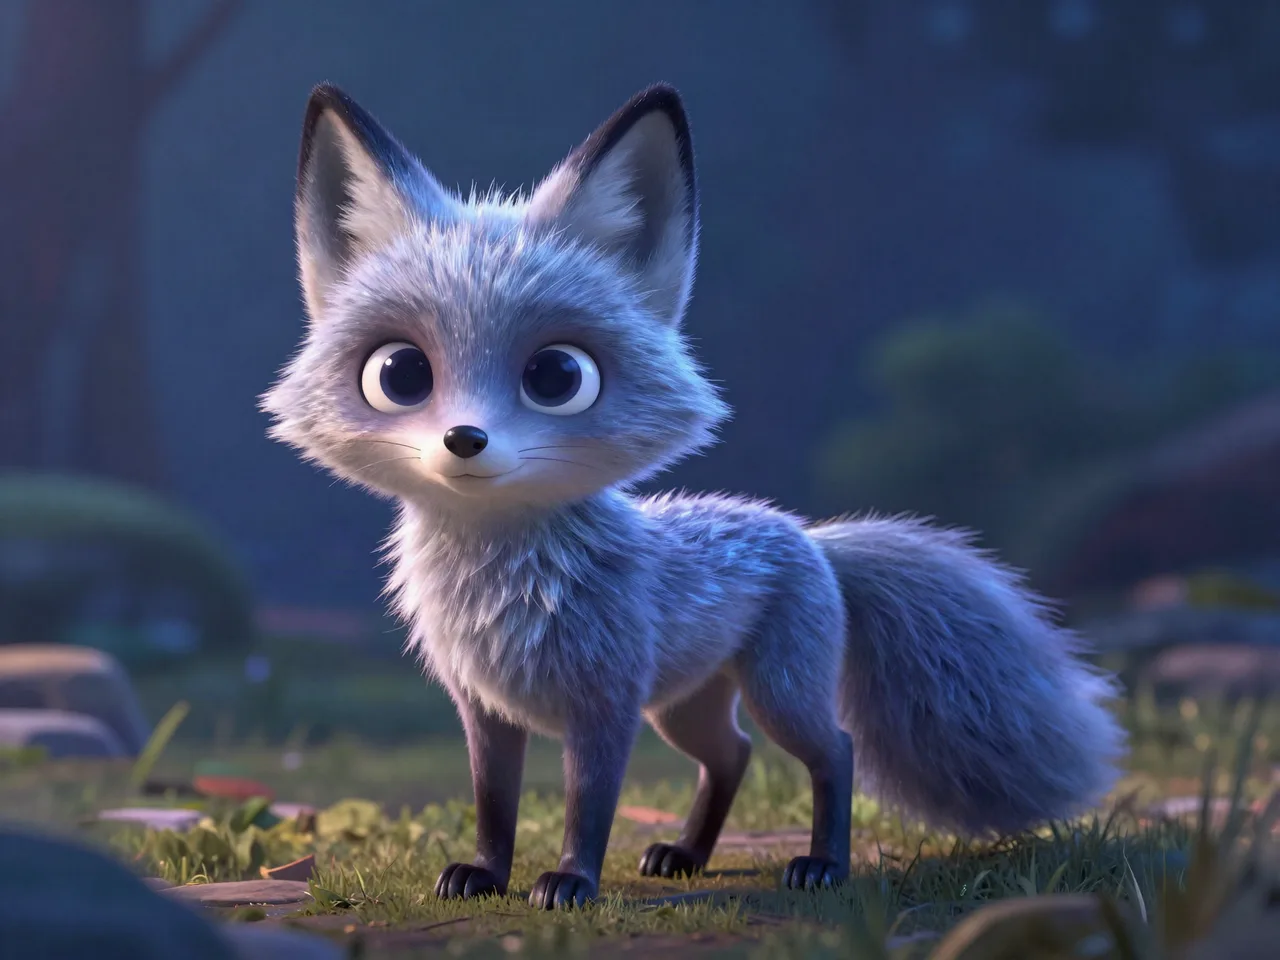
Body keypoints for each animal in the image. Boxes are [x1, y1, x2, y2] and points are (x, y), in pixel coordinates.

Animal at [262, 81, 1126, 910]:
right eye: (401, 373)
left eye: (557, 376)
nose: (464, 441)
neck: (505, 589)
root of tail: (812, 537)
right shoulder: (486, 710)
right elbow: (494, 807)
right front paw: (485, 874)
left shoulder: (606, 705)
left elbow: (587, 808)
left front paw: (570, 883)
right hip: (684, 708)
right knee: (732, 756)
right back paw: (686, 854)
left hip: (775, 692)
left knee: (834, 750)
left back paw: (822, 864)